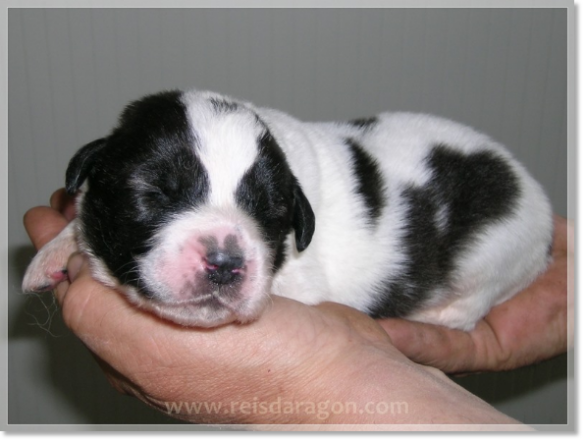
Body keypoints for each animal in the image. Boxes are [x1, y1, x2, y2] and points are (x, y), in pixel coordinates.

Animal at [21, 90, 552, 332]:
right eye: (153, 193)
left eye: (270, 209)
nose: (225, 263)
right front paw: (52, 254)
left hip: (496, 254)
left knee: (472, 303)